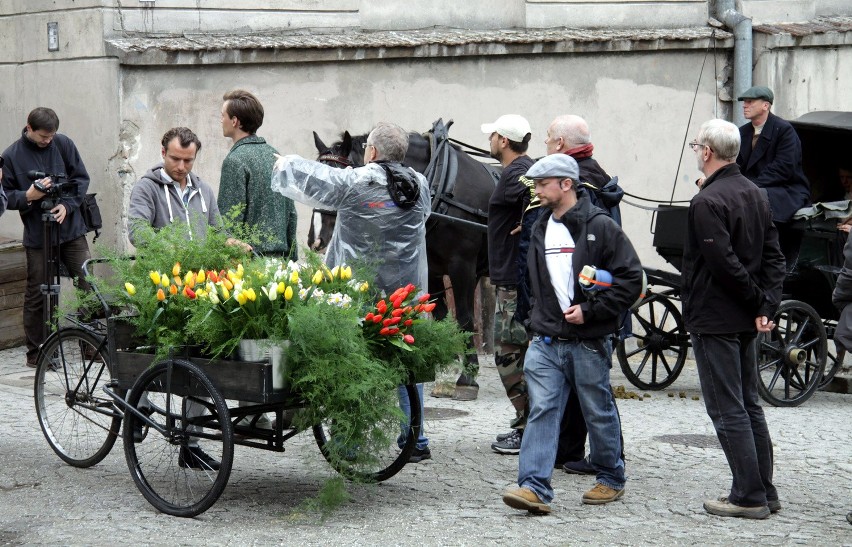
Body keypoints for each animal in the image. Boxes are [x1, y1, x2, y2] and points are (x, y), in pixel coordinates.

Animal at [312, 122, 500, 400]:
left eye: (338, 179)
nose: (315, 239)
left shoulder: (462, 266)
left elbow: (465, 317)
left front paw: (467, 377)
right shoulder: (433, 269)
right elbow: (441, 316)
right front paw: (445, 365)